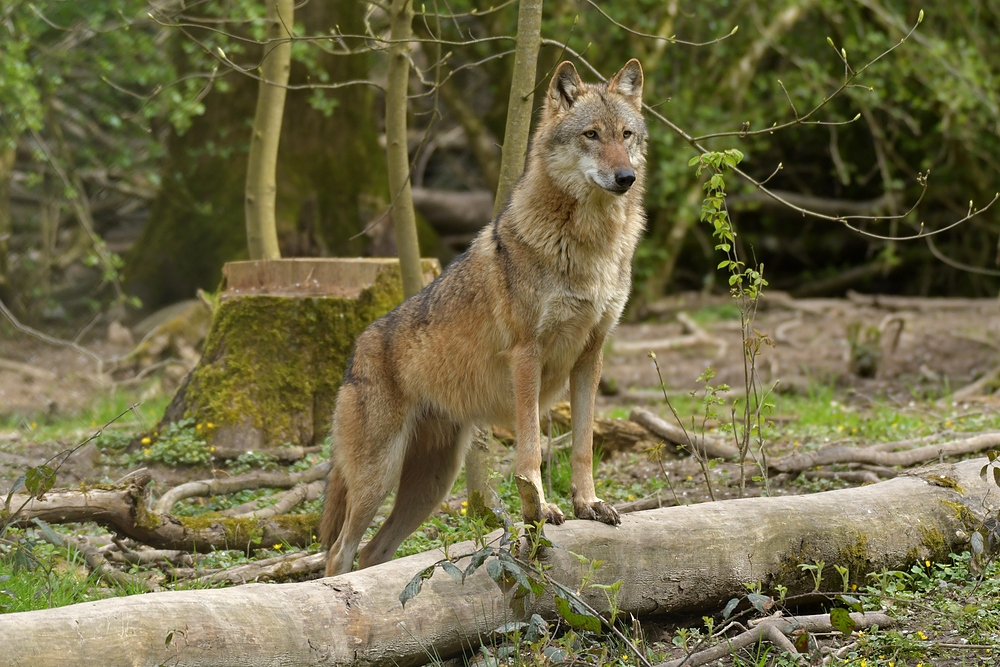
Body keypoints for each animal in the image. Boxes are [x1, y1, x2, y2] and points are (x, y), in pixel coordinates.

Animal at [322, 58, 648, 580]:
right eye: (591, 135)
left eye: (626, 134)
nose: (625, 177)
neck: (591, 246)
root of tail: (357, 350)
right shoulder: (526, 354)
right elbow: (531, 448)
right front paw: (544, 509)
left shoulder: (591, 356)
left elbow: (582, 445)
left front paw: (589, 504)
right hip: (380, 477)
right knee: (339, 553)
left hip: (430, 486)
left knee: (373, 555)